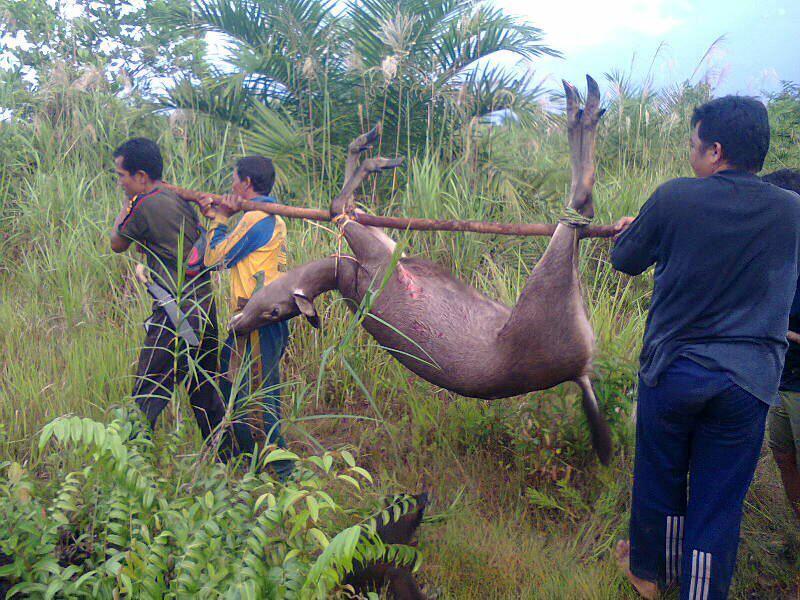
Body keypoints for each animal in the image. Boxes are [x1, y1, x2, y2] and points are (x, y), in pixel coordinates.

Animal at [231, 76, 612, 464]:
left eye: (273, 310)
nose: (237, 325)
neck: (344, 278)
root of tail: (576, 372)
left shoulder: (383, 251)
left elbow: (345, 206)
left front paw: (370, 151)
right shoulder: (379, 263)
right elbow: (338, 206)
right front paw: (371, 158)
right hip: (546, 294)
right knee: (580, 205)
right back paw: (581, 111)